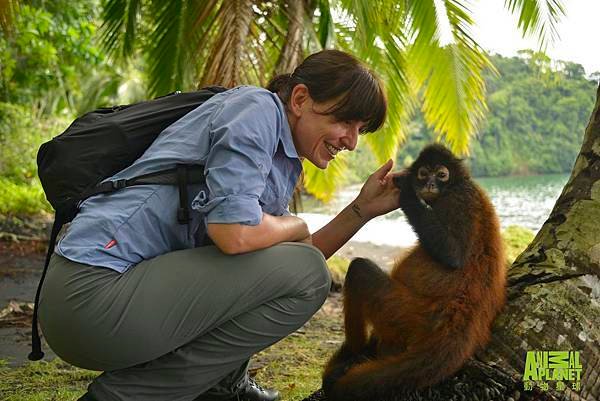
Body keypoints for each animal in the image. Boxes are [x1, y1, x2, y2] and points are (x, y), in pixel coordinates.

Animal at [324, 142, 506, 398]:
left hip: (405, 314)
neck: (456, 186)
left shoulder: (460, 198)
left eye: (441, 174)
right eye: (424, 173)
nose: (429, 184)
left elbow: (454, 256)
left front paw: (407, 192)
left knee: (360, 269)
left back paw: (352, 353)